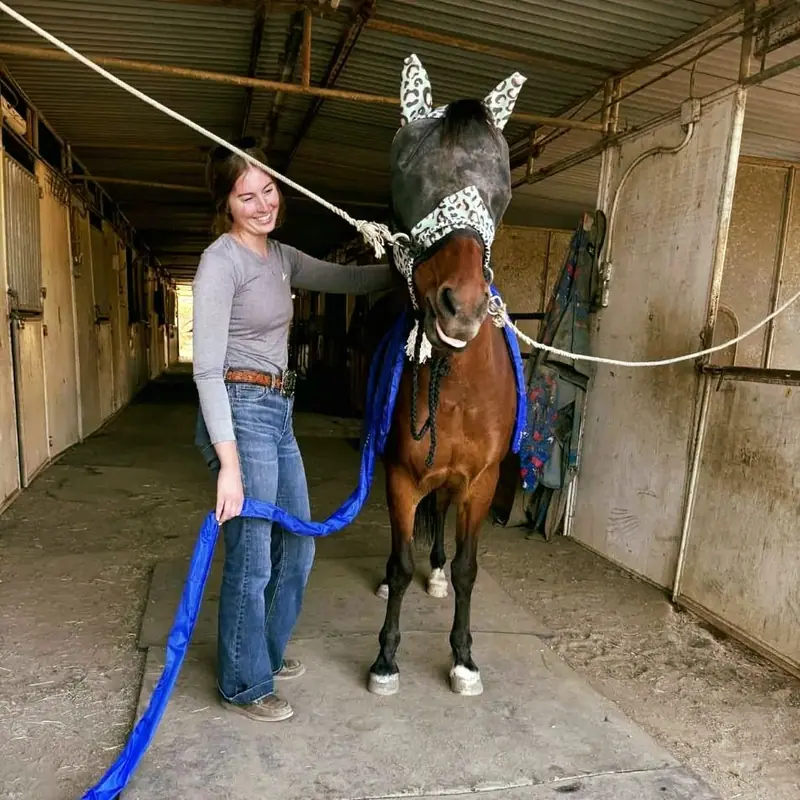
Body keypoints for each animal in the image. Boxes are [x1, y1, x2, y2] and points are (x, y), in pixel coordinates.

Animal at [360, 55, 527, 697]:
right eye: (410, 177)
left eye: (502, 191)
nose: (462, 308)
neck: (456, 389)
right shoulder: (400, 475)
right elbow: (399, 558)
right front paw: (386, 658)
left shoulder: (481, 483)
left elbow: (467, 567)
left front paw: (463, 658)